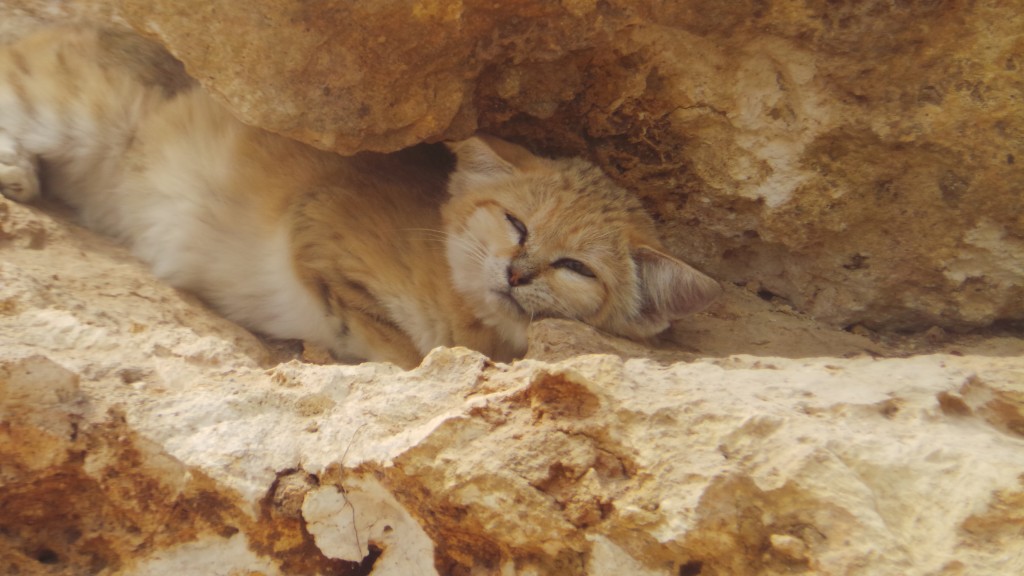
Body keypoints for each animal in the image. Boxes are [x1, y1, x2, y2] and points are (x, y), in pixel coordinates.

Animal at [0, 26, 720, 364]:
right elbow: (402, 347)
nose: (517, 273)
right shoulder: (320, 225)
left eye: (576, 267)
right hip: (76, 109)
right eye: (516, 224)